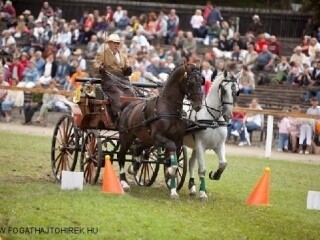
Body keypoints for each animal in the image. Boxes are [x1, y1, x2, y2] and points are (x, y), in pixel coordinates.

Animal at [117, 63, 202, 199]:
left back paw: (134, 167)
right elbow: (171, 159)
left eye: (201, 81)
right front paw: (170, 172)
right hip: (127, 136)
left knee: (138, 148)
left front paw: (173, 190)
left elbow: (173, 160)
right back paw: (124, 182)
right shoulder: (159, 138)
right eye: (191, 82)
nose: (198, 105)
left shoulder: (178, 141)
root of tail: (127, 105)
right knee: (121, 156)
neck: (169, 109)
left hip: (146, 139)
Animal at [182, 68, 240, 200]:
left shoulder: (219, 145)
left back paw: (192, 187)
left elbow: (223, 163)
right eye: (223, 90)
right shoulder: (200, 145)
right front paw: (203, 193)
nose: (228, 114)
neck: (213, 119)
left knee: (191, 163)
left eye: (236, 91)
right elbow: (202, 169)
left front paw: (215, 174)